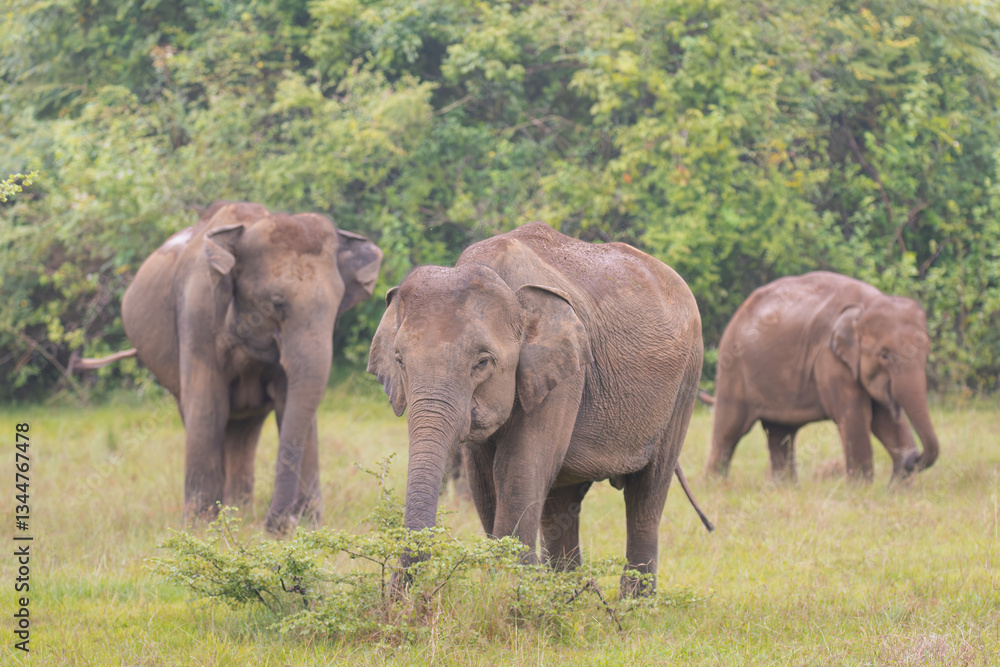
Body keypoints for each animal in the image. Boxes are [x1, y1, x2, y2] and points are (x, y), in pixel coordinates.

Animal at [121, 201, 382, 532]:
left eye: (338, 307)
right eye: (276, 302)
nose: (276, 525)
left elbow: (291, 405)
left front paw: (309, 525)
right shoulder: (197, 311)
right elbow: (208, 407)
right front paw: (201, 526)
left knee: (244, 429)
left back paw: (238, 511)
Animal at [367, 222, 707, 595]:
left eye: (482, 362)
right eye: (400, 360)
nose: (399, 596)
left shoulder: (566, 374)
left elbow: (517, 467)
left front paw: (506, 591)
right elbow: (483, 479)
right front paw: (510, 589)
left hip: (686, 381)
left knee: (647, 492)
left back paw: (634, 603)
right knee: (561, 500)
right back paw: (565, 595)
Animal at [706, 271, 940, 482]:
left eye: (927, 351)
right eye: (884, 355)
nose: (912, 457)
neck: (865, 305)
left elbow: (884, 419)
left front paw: (897, 489)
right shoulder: (829, 359)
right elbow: (856, 416)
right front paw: (860, 490)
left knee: (781, 433)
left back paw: (786, 489)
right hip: (733, 370)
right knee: (729, 430)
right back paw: (716, 487)